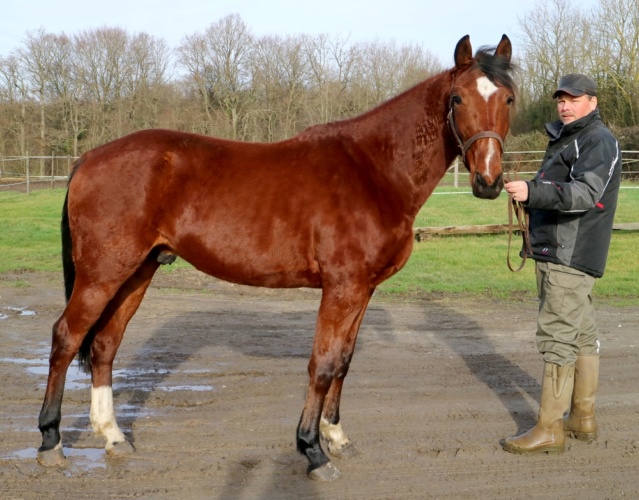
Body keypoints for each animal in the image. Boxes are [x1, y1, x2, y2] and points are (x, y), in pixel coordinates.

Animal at [36, 35, 516, 480]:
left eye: (509, 98)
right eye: (457, 99)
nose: (489, 182)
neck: (373, 171)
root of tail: (89, 157)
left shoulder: (363, 290)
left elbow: (344, 362)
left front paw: (336, 437)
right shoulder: (342, 287)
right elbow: (322, 364)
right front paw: (312, 450)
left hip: (137, 272)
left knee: (104, 344)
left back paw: (113, 436)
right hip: (102, 274)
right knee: (66, 337)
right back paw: (50, 442)